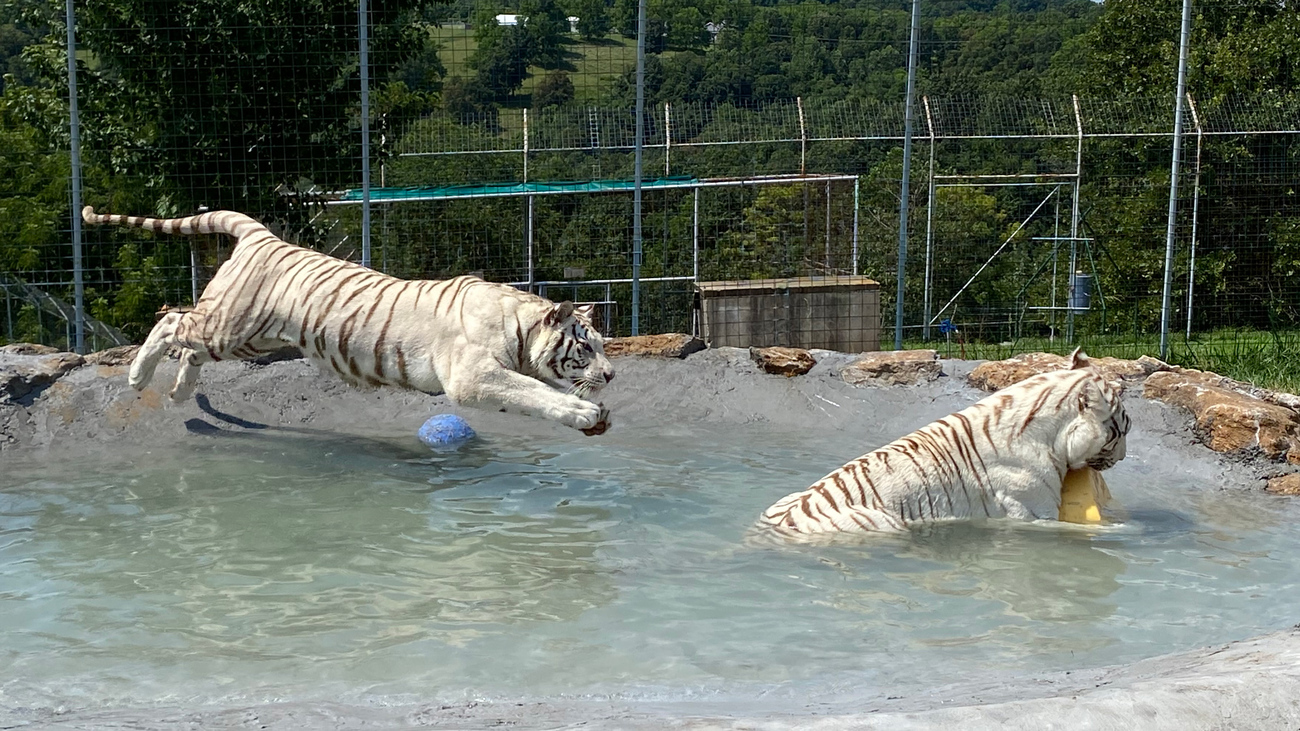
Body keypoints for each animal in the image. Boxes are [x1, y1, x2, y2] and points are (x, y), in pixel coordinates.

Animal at [83, 205, 616, 431]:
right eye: (585, 345)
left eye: (604, 344)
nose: (612, 375)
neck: (521, 327)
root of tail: (262, 236)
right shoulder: (473, 375)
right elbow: (530, 392)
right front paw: (582, 412)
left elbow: (535, 390)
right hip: (230, 326)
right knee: (172, 320)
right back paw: (138, 376)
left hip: (249, 339)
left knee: (189, 349)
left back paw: (178, 394)